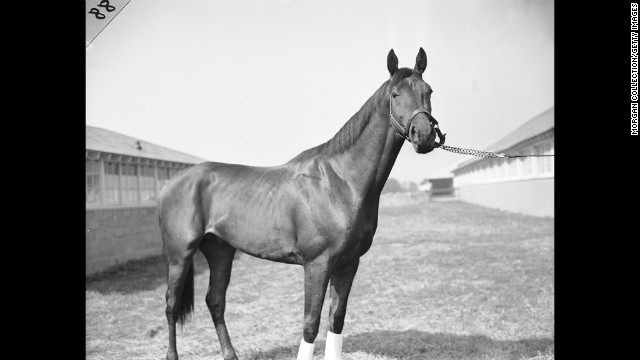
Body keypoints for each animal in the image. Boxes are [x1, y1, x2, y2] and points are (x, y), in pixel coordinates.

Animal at [159, 47, 444, 360]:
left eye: (428, 91)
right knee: (172, 305)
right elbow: (310, 323)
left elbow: (336, 319)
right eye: (395, 94)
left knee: (215, 301)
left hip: (220, 250)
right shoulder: (317, 264)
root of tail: (172, 183)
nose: (424, 134)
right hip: (180, 255)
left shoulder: (348, 264)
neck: (340, 181)